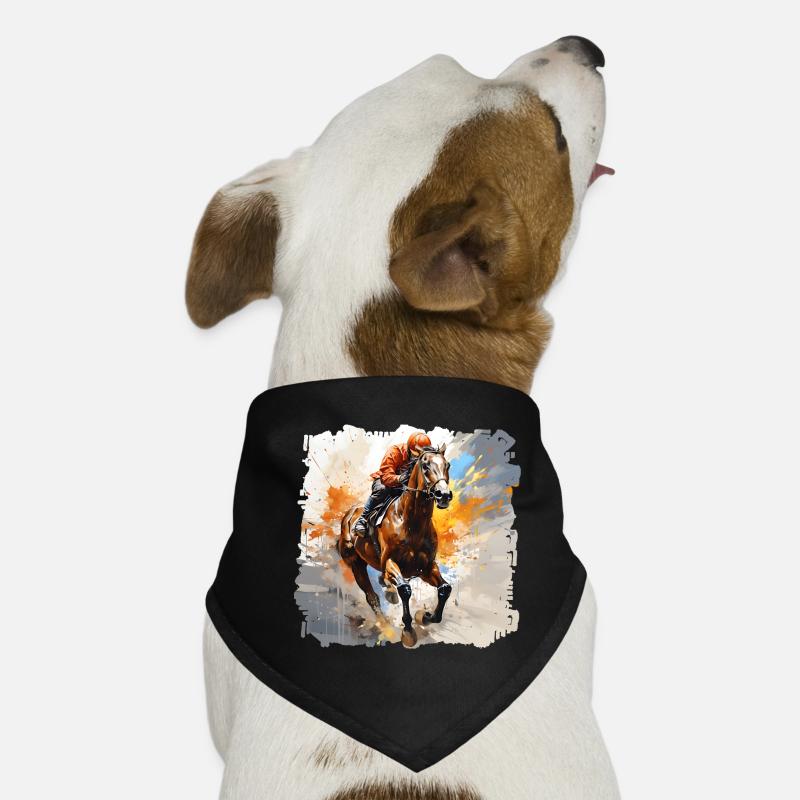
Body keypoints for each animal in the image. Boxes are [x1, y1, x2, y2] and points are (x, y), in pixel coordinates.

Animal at [338, 444, 453, 647]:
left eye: (447, 465)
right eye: (425, 466)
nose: (444, 495)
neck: (413, 523)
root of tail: (350, 513)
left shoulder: (426, 567)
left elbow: (445, 589)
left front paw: (426, 616)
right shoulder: (390, 563)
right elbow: (405, 589)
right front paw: (408, 631)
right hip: (355, 563)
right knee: (372, 597)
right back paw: (386, 627)